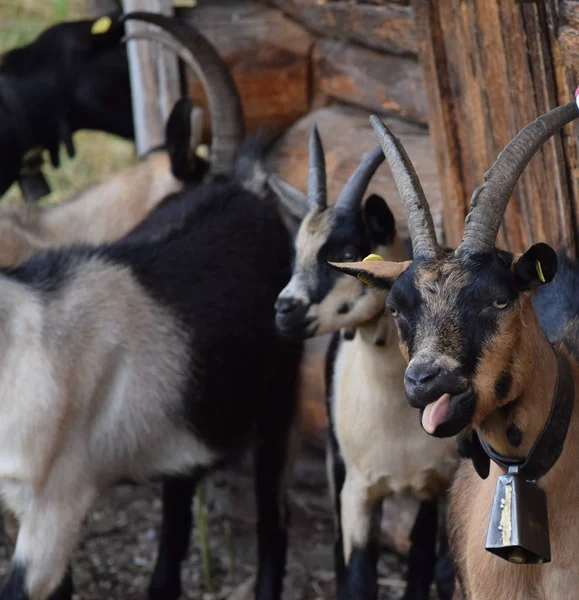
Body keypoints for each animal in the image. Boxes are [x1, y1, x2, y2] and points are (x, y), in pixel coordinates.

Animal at [274, 127, 460, 600]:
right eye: (297, 251)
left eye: (345, 251)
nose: (284, 309)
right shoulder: (357, 490)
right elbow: (357, 575)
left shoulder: (448, 481)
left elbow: (441, 570)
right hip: (336, 464)